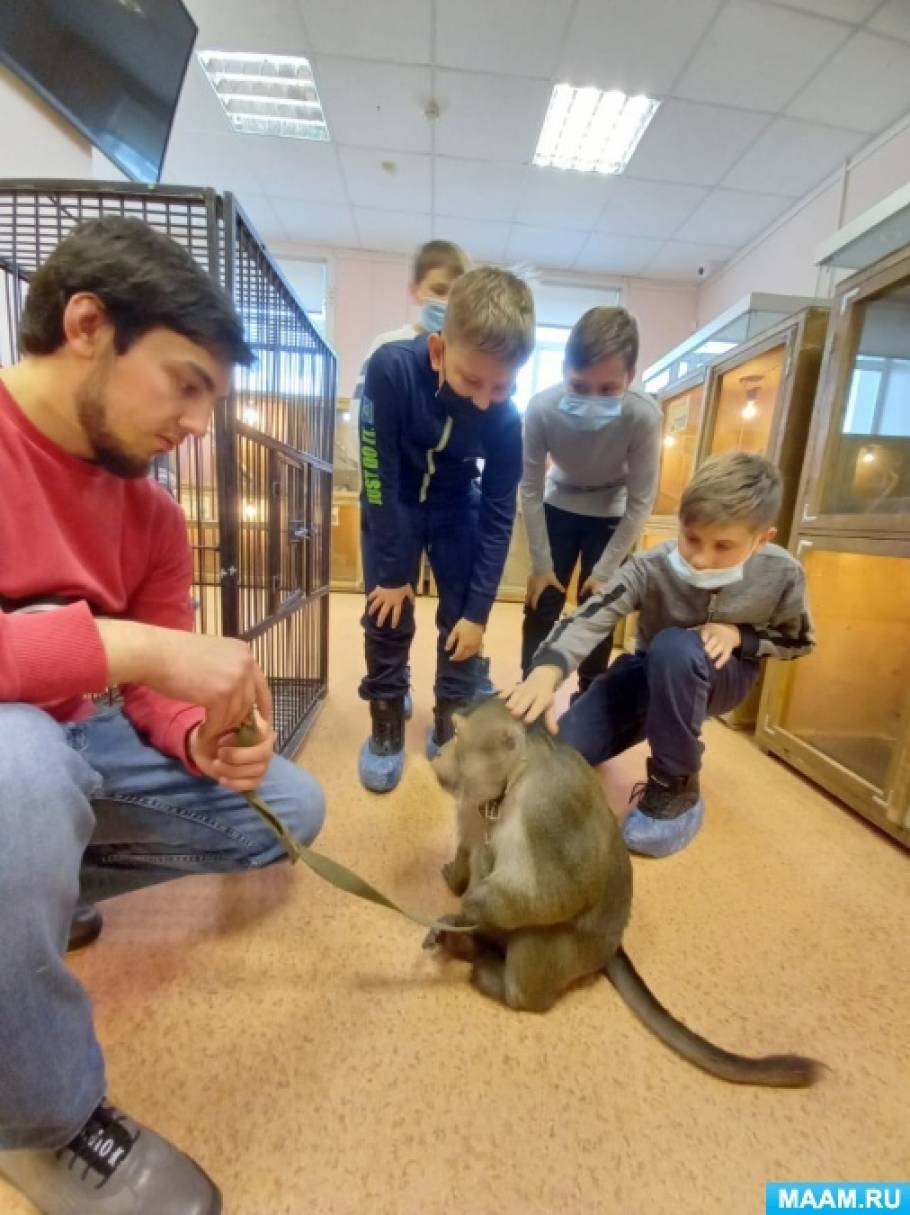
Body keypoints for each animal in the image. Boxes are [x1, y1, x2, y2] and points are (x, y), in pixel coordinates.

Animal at [424, 697, 821, 1088]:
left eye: (457, 734)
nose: (439, 752)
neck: (514, 780)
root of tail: (613, 946)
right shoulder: (477, 805)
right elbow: (473, 849)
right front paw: (455, 890)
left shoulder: (548, 808)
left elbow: (564, 890)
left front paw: (473, 906)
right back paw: (468, 944)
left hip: (579, 954)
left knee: (538, 929)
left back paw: (503, 982)